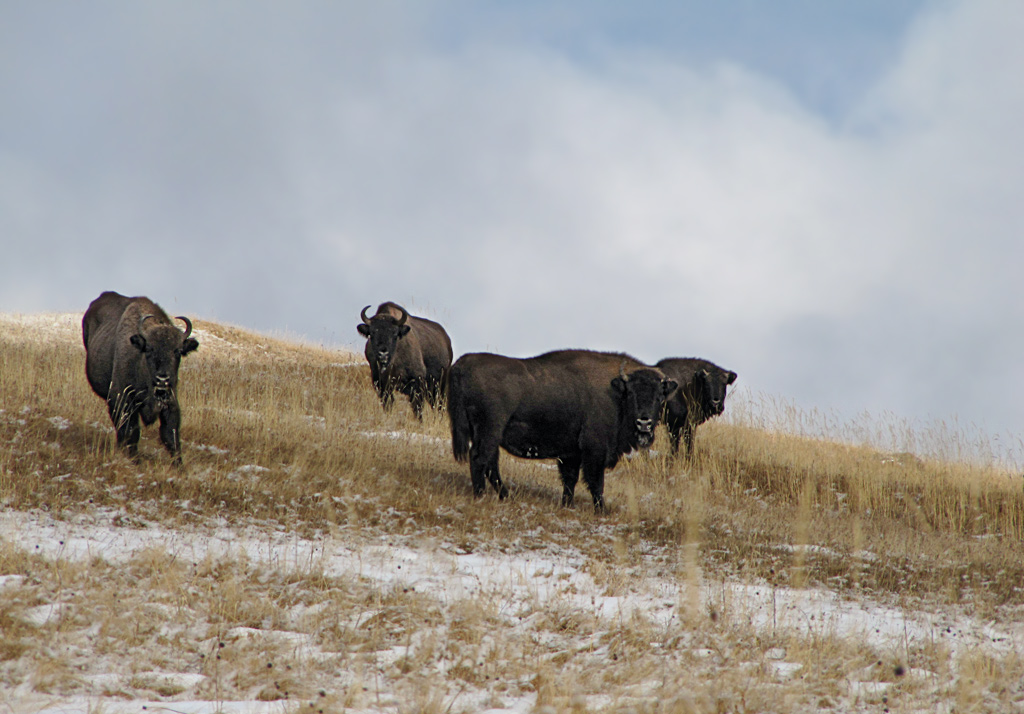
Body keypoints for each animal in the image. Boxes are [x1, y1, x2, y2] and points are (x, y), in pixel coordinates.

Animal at [82, 288, 199, 463]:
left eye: (177, 351)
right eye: (149, 349)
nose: (162, 379)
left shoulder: (171, 402)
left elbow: (170, 435)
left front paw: (179, 465)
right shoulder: (122, 398)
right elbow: (131, 431)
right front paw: (134, 459)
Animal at [450, 348, 679, 510]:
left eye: (660, 397)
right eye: (631, 394)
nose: (644, 423)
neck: (615, 394)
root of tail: (462, 365)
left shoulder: (571, 454)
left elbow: (570, 479)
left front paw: (567, 505)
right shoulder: (594, 451)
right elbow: (595, 482)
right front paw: (601, 511)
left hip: (489, 435)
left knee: (490, 463)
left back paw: (505, 496)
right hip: (489, 430)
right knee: (479, 459)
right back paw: (481, 496)